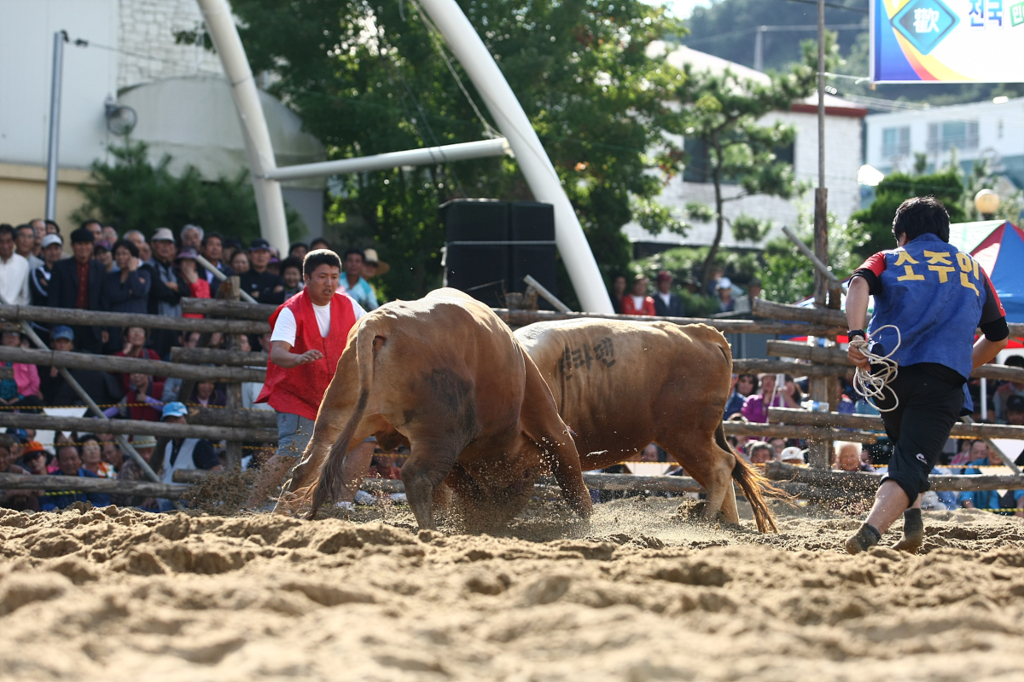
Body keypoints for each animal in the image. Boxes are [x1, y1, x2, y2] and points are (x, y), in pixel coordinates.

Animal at [276, 284, 593, 524]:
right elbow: (571, 474)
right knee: (416, 477)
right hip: (443, 431)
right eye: (527, 474)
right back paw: (429, 530)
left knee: (308, 465)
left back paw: (281, 518)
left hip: (341, 415)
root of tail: (379, 323)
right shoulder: (548, 422)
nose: (492, 518)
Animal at [516, 319, 778, 532]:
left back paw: (705, 522)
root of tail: (699, 331)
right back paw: (729, 526)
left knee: (721, 467)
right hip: (685, 441)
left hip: (686, 435)